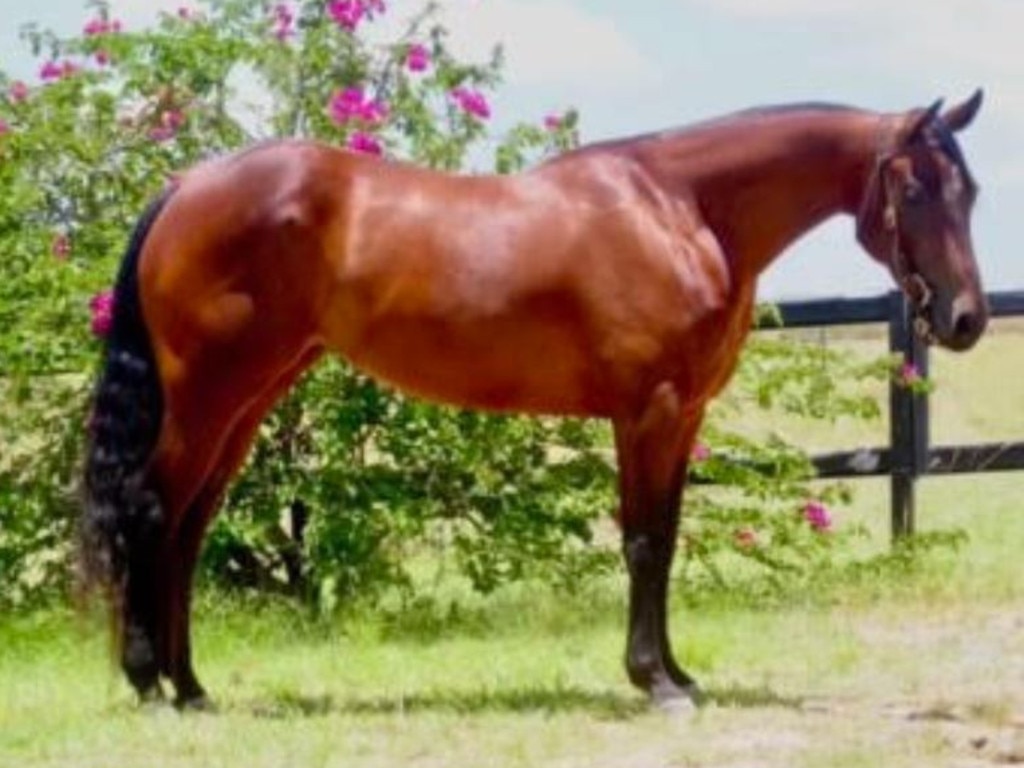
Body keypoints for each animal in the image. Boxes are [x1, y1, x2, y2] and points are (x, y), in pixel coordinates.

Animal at [83, 90, 987, 708]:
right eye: (915, 191)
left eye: (970, 190)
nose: (967, 319)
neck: (679, 211)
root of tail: (187, 187)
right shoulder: (650, 410)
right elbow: (645, 543)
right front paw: (655, 682)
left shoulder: (684, 414)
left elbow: (665, 537)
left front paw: (678, 672)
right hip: (207, 395)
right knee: (152, 511)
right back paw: (150, 685)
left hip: (248, 399)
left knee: (190, 527)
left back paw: (192, 686)